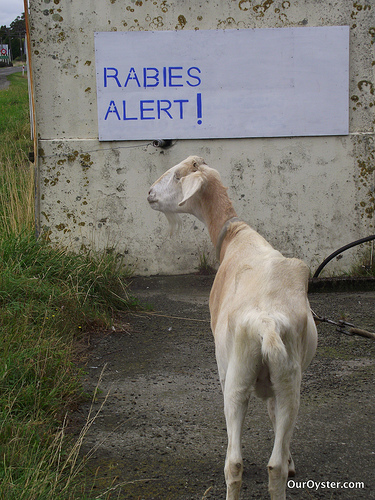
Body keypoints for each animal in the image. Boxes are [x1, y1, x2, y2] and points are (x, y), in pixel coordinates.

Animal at [148, 156, 318, 500]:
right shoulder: (277, 384)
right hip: (289, 380)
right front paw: (291, 460)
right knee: (274, 467)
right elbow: (274, 420)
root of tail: (267, 325)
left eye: (176, 175)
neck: (236, 235)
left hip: (236, 381)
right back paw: (282, 468)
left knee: (234, 463)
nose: (148, 194)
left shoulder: (223, 369)